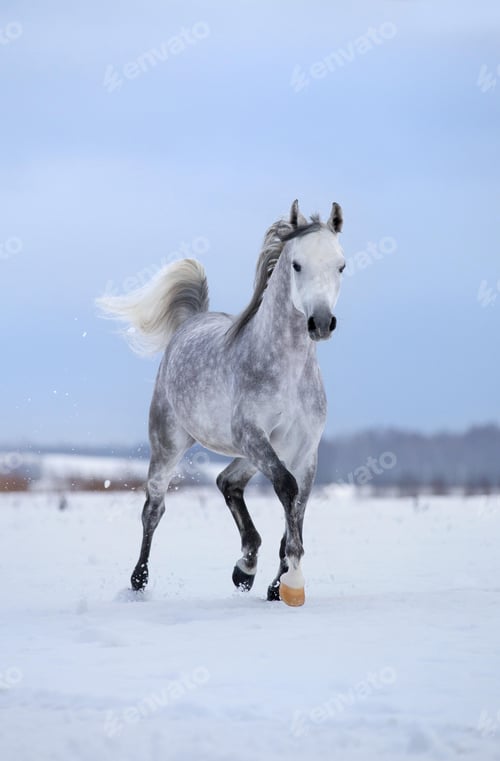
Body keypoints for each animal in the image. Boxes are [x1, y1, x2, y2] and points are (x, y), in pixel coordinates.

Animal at [97, 200, 345, 606]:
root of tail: (192, 321)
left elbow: (297, 507)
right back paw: (139, 581)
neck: (288, 372)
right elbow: (287, 488)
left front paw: (277, 585)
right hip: (171, 444)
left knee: (227, 481)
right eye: (297, 265)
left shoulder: (304, 449)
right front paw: (292, 583)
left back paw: (245, 568)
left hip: (252, 454)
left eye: (341, 265)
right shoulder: (252, 435)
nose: (320, 323)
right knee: (154, 509)